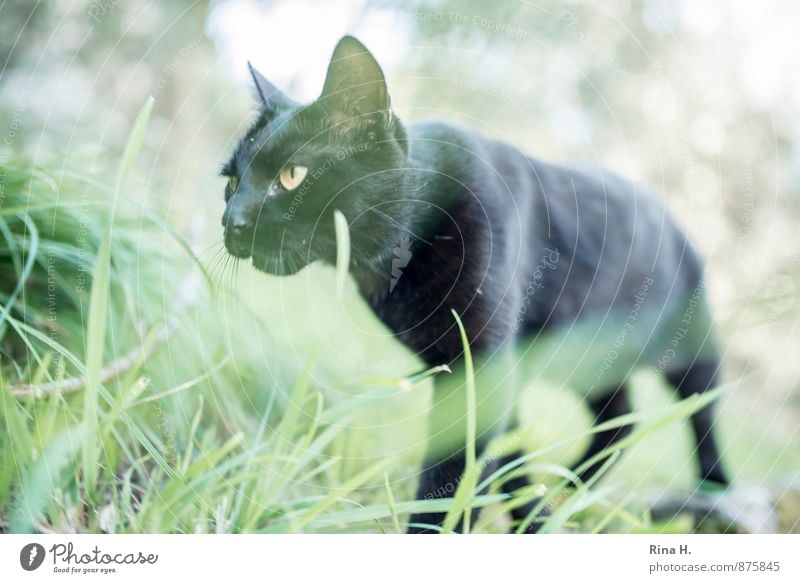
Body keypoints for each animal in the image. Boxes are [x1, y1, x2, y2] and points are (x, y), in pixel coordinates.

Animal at [222, 34, 728, 532]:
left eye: (292, 175)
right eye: (230, 182)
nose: (231, 220)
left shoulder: (481, 363)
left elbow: (453, 475)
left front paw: (446, 529)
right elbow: (501, 456)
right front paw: (530, 512)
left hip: (689, 353)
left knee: (702, 413)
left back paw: (715, 495)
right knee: (621, 419)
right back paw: (570, 491)